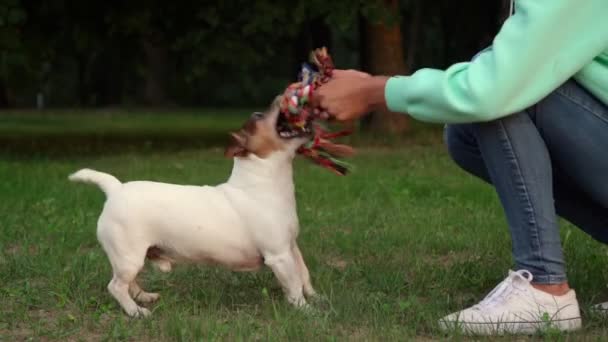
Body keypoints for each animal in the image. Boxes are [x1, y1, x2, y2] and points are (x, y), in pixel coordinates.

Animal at [69, 97, 318, 316]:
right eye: (259, 118)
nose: (278, 100)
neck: (264, 182)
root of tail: (115, 188)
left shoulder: (291, 247)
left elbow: (303, 273)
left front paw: (315, 297)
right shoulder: (279, 255)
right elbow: (293, 284)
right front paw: (305, 309)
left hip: (128, 258)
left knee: (128, 282)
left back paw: (144, 297)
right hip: (129, 256)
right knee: (116, 286)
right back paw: (136, 311)